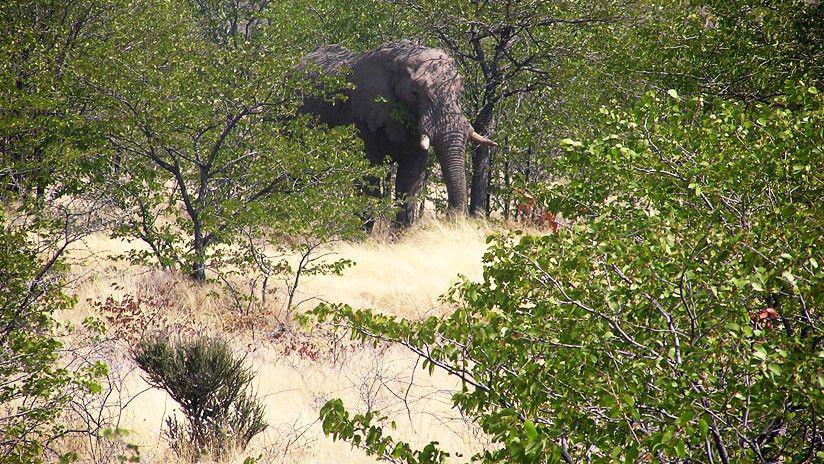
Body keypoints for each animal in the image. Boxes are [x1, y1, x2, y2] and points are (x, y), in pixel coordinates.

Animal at [298, 40, 496, 225]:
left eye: (460, 90)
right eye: (415, 93)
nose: (452, 218)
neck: (398, 58)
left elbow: (411, 177)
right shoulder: (360, 115)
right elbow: (368, 173)